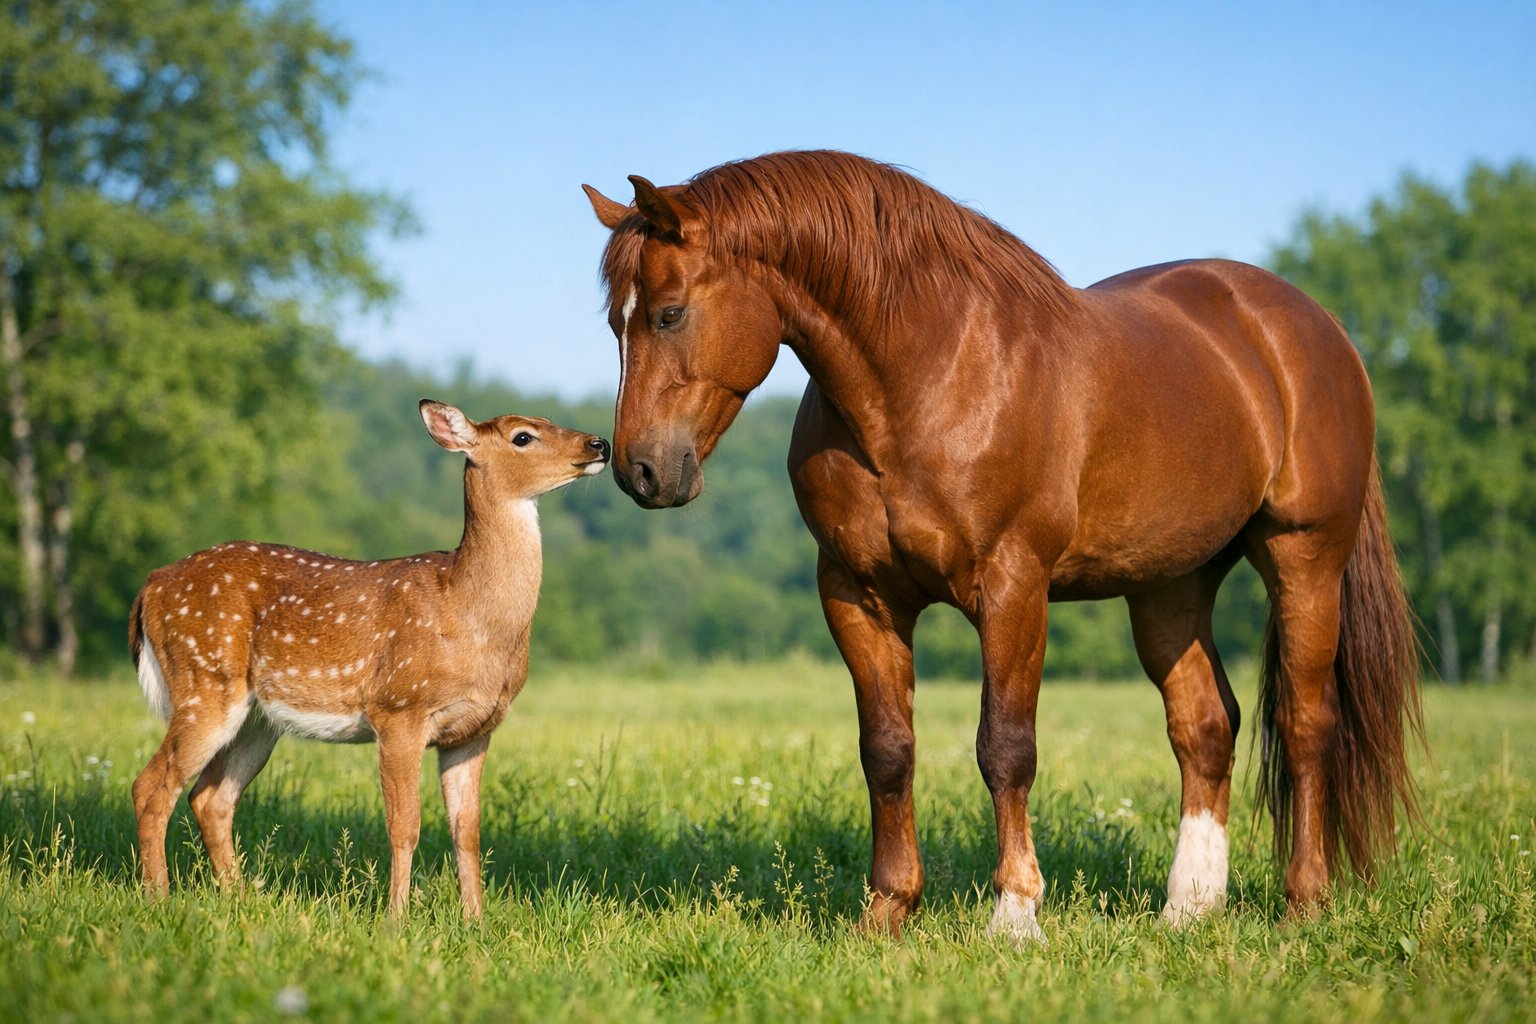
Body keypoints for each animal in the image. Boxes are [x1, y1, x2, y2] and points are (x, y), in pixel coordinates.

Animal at [128, 399, 609, 917]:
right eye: (523, 436)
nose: (599, 443)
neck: (469, 614)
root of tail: (150, 587)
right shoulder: (398, 708)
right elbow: (405, 826)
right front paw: (396, 917)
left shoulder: (474, 730)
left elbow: (468, 832)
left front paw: (475, 921)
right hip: (204, 680)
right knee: (151, 786)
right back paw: (158, 899)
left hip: (256, 719)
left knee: (210, 797)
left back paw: (238, 896)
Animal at [582, 150, 1421, 942]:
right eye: (615, 324)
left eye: (669, 314)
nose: (639, 471)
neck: (926, 380)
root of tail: (1309, 327)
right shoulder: (858, 593)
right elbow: (888, 750)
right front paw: (888, 910)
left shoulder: (1014, 586)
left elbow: (1005, 748)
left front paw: (1016, 915)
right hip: (1170, 584)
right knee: (1205, 726)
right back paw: (1189, 908)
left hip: (1305, 556)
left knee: (1307, 723)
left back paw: (1304, 903)